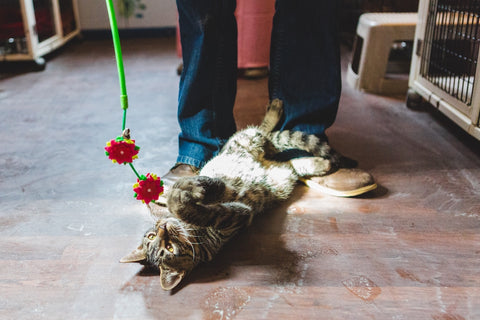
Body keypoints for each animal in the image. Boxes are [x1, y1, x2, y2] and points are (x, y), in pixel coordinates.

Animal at [121, 100, 342, 290]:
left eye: (153, 236)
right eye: (168, 248)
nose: (162, 227)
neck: (193, 232)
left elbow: (190, 188)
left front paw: (178, 191)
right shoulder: (238, 215)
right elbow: (198, 206)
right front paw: (183, 198)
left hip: (248, 142)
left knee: (268, 133)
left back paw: (276, 108)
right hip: (280, 169)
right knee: (288, 157)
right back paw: (321, 163)